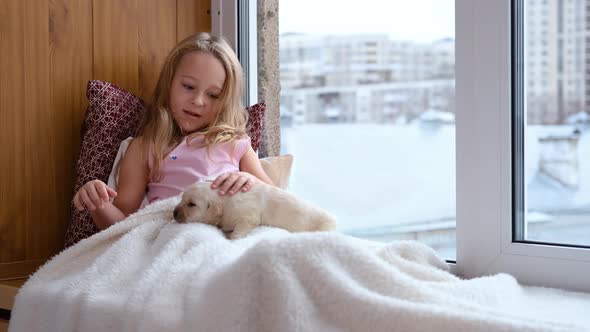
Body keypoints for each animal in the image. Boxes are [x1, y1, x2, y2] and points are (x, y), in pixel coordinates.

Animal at [173, 182, 338, 239]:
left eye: (191, 204)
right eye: (182, 199)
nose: (174, 213)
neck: (225, 201)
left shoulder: (247, 217)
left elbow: (238, 232)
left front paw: (233, 238)